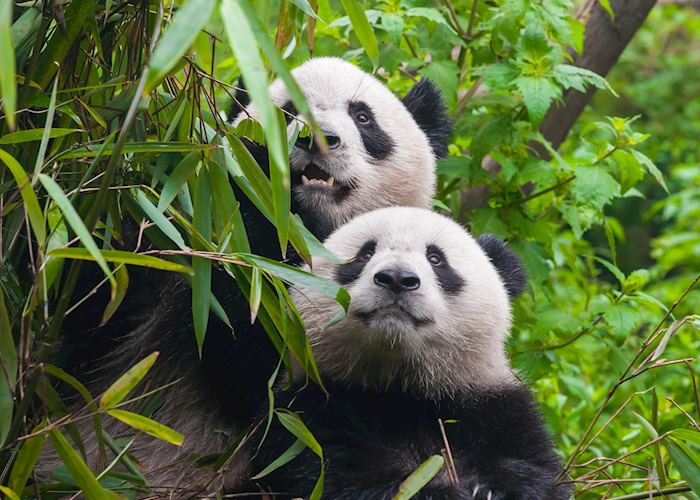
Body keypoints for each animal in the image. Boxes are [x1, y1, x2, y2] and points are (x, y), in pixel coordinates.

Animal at [245, 205, 568, 498]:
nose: (397, 278)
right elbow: (334, 477)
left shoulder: (495, 409)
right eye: (364, 254)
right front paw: (443, 492)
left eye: (436, 259)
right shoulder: (309, 411)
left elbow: (536, 471)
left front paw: (493, 489)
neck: (404, 386)